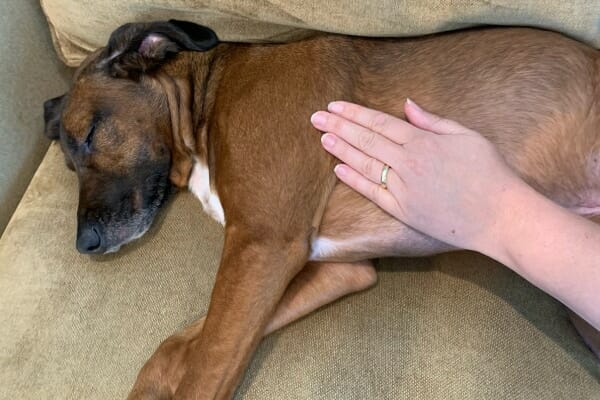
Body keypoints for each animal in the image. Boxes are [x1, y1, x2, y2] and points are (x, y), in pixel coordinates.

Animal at [43, 21, 600, 400]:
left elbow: (205, 366)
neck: (205, 98)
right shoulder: (331, 268)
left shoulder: (262, 245)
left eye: (91, 134)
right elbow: (179, 346)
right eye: (67, 164)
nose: (84, 245)